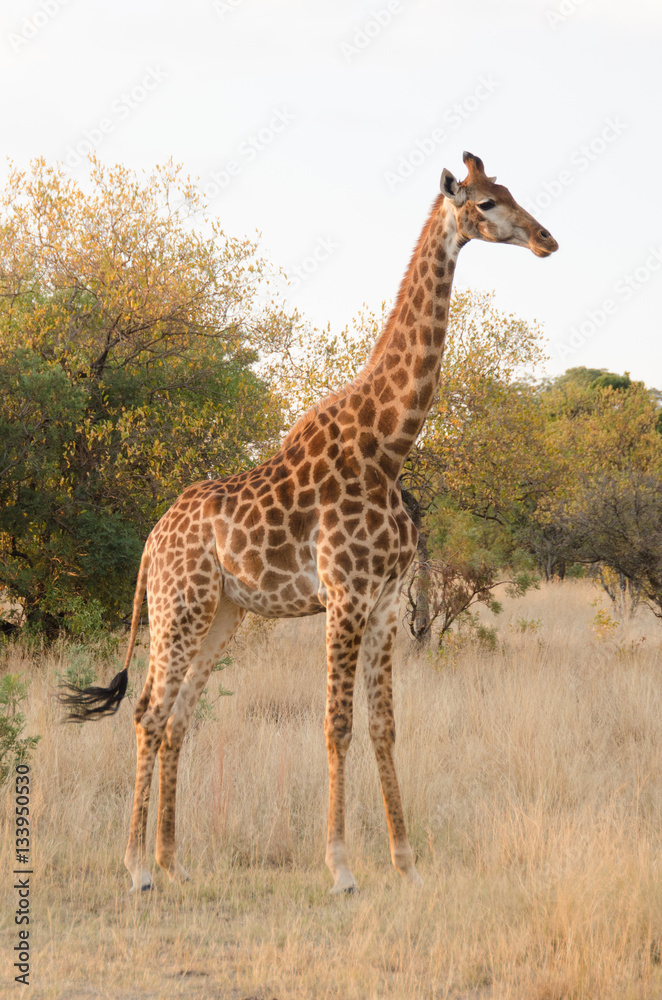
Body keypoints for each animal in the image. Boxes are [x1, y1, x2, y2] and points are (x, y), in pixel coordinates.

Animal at [61, 152, 560, 896]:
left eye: (510, 191)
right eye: (488, 202)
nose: (546, 239)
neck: (388, 444)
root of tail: (151, 541)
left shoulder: (386, 603)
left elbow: (384, 727)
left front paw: (406, 863)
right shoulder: (346, 597)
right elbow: (337, 726)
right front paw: (342, 869)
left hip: (223, 614)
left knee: (178, 716)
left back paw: (175, 864)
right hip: (179, 606)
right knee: (150, 712)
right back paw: (137, 870)